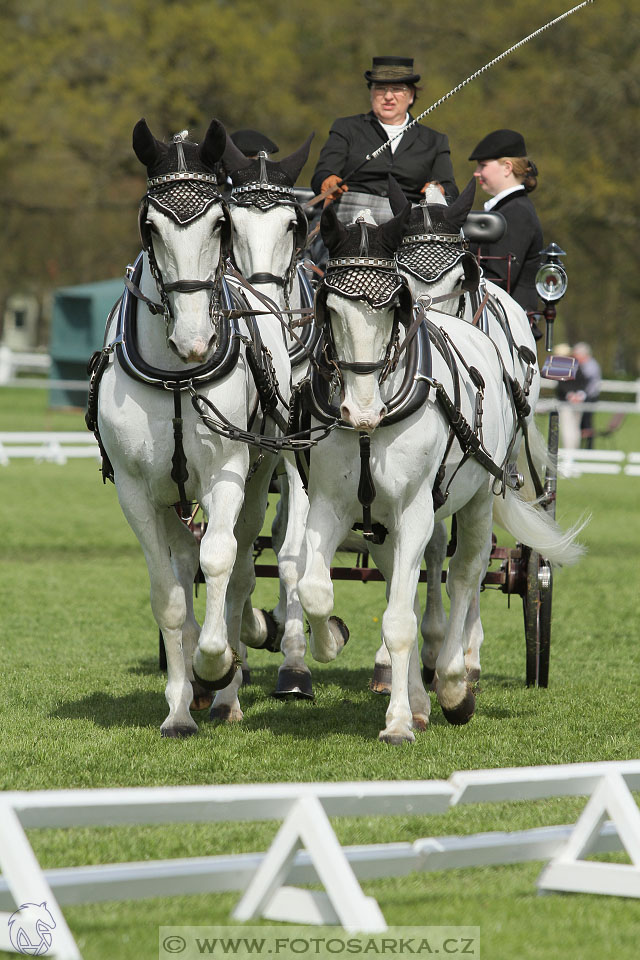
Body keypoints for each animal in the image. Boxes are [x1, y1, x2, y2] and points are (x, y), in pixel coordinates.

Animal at [92, 122, 290, 736]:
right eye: (149, 225)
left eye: (219, 223)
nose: (195, 339)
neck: (178, 373)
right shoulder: (136, 491)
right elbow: (170, 594)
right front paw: (180, 705)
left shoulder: (226, 472)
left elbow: (221, 561)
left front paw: (216, 665)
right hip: (172, 499)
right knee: (185, 561)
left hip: (260, 475)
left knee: (242, 564)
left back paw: (228, 687)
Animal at [298, 202, 584, 744]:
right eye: (330, 307)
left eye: (393, 306)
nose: (360, 410)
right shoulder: (333, 507)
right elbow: (318, 592)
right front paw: (333, 643)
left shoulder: (414, 510)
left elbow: (402, 618)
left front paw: (398, 723)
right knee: (413, 584)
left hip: (478, 496)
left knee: (468, 572)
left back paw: (454, 680)